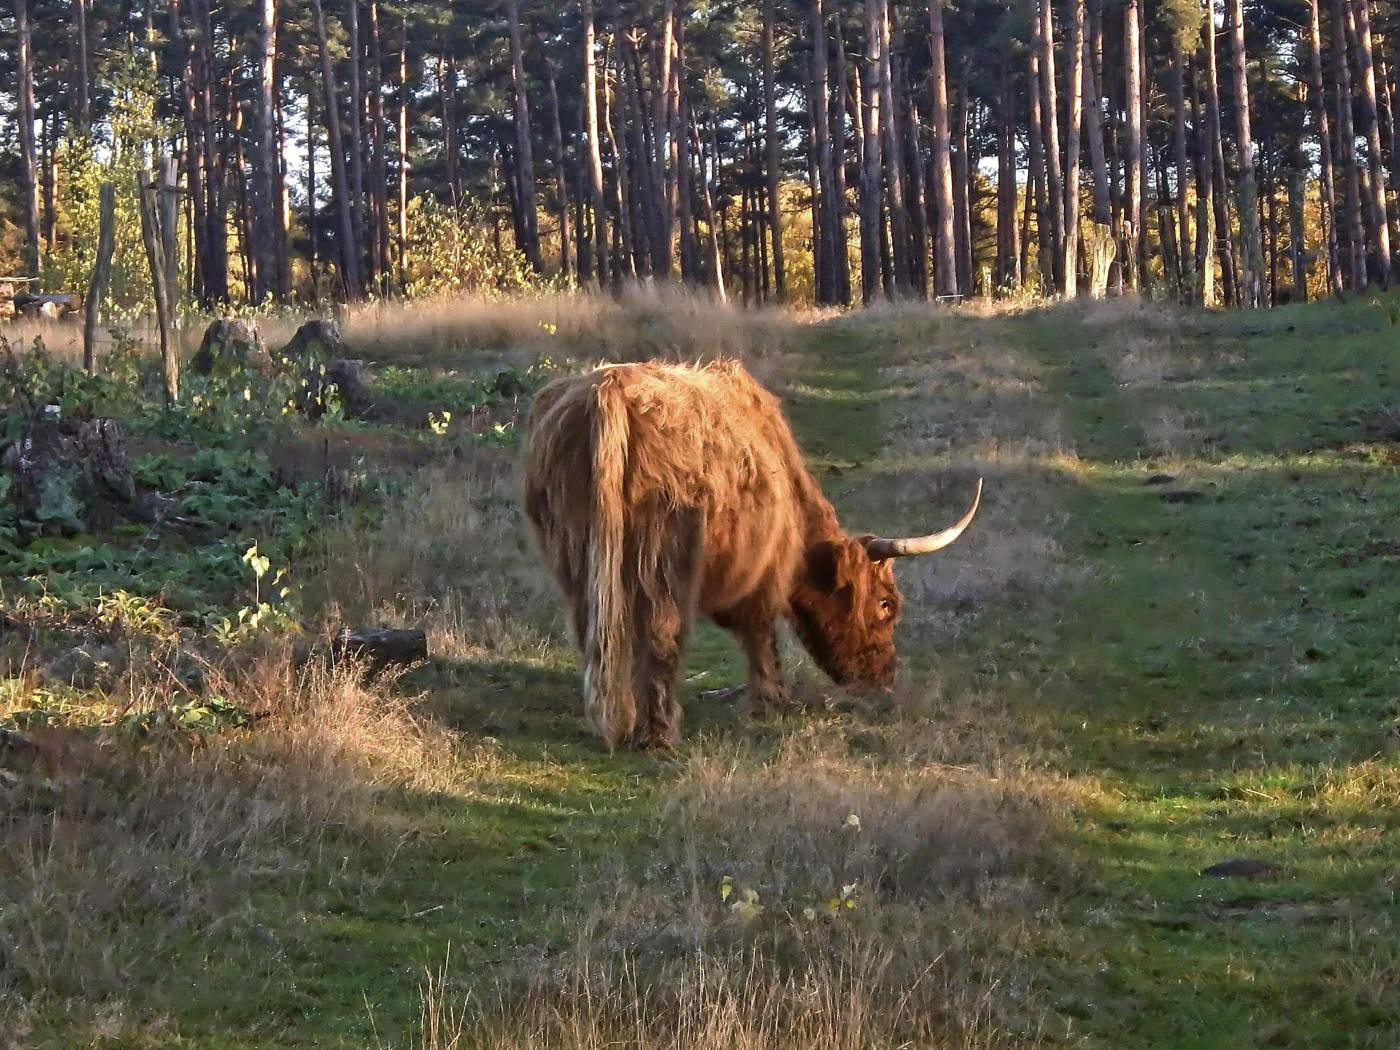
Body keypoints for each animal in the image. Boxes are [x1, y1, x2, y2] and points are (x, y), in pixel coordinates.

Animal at [520, 366, 980, 750]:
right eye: (886, 604)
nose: (884, 678)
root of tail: (608, 390)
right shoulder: (766, 573)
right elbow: (761, 634)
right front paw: (772, 700)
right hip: (664, 554)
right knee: (662, 631)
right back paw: (659, 733)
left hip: (576, 555)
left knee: (595, 629)